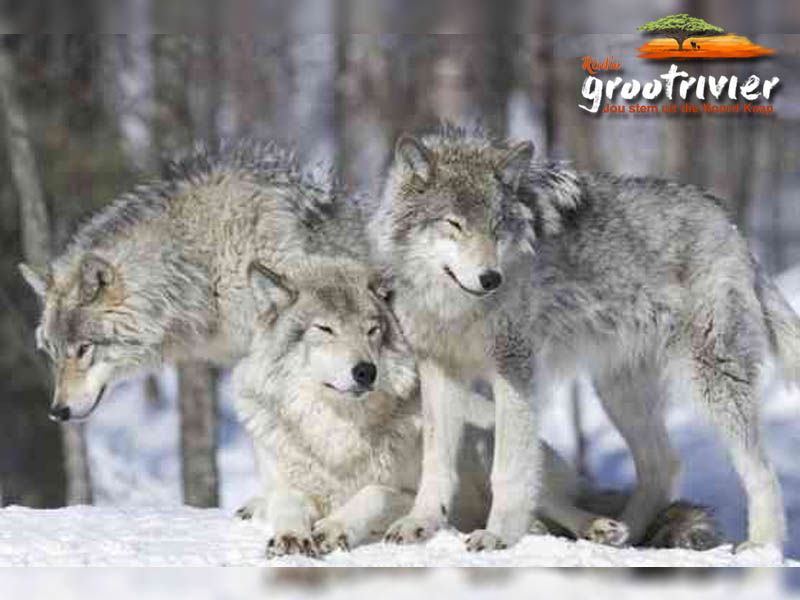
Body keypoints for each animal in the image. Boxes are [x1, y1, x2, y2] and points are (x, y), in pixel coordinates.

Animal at [233, 257, 720, 557]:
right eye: (325, 329)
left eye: (372, 330)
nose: (365, 372)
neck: (338, 432)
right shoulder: (286, 483)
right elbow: (286, 504)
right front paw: (292, 535)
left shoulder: (407, 492)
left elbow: (372, 493)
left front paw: (333, 528)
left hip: (491, 449)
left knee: (558, 509)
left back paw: (596, 527)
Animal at [373, 124, 797, 553]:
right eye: (454, 224)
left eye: (497, 228)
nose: (491, 278)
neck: (455, 307)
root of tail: (728, 220)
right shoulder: (440, 369)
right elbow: (435, 463)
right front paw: (420, 523)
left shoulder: (515, 369)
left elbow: (509, 469)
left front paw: (498, 535)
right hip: (618, 392)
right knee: (664, 464)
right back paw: (623, 534)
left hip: (712, 379)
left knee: (760, 467)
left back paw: (762, 545)